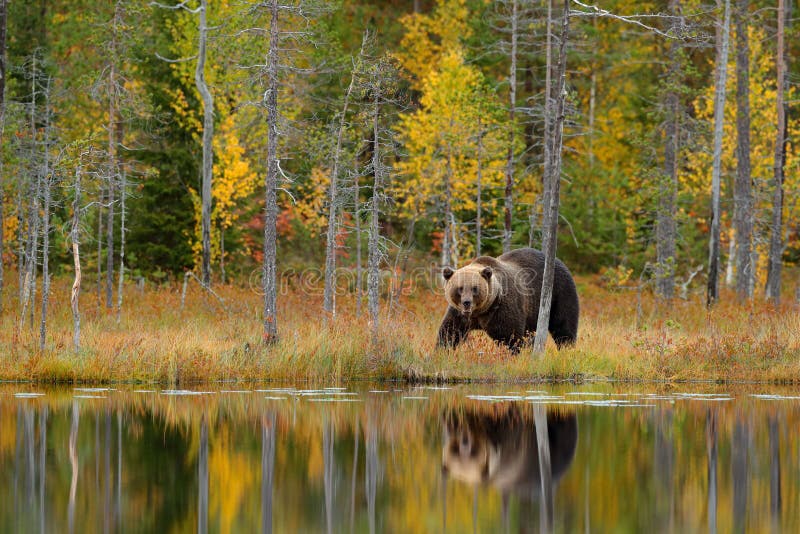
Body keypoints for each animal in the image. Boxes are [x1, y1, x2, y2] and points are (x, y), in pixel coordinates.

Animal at [438, 249, 576, 354]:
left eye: (474, 288)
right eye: (460, 288)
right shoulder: (459, 313)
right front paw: (442, 351)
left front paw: (513, 353)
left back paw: (566, 348)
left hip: (560, 291)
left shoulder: (501, 307)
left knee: (564, 324)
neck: (480, 311)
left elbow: (509, 336)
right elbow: (450, 331)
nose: (467, 302)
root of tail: (559, 261)